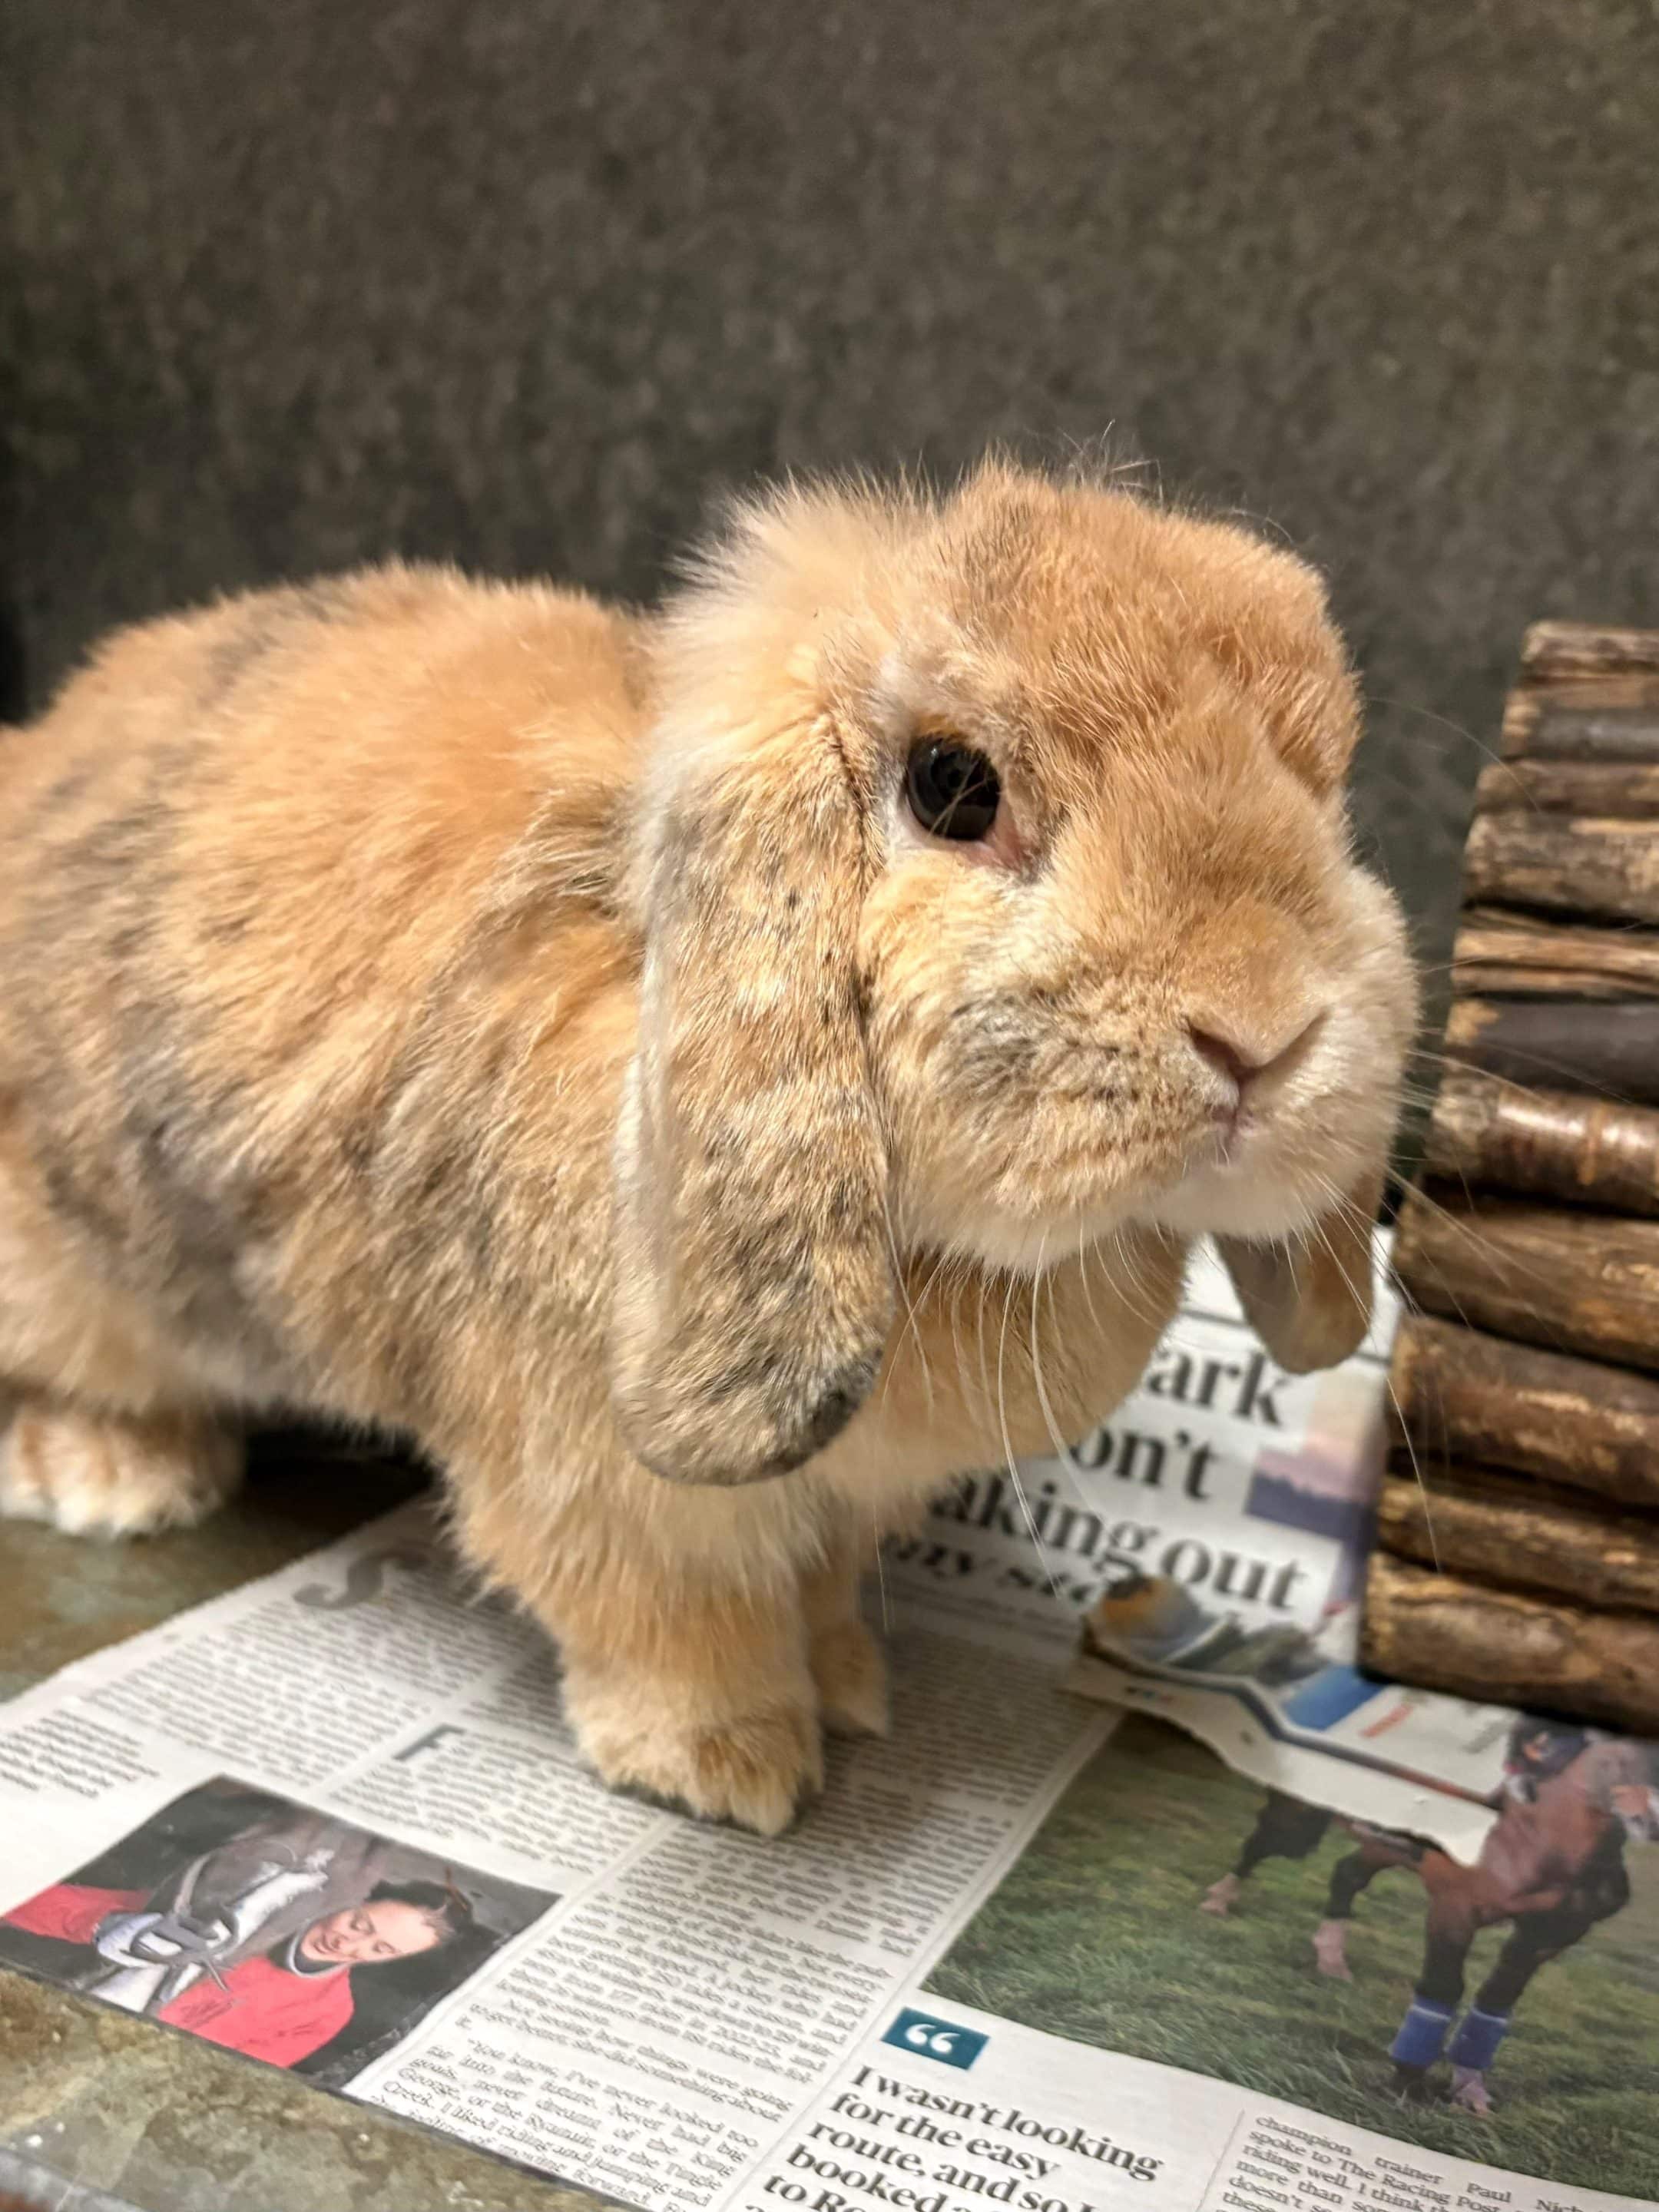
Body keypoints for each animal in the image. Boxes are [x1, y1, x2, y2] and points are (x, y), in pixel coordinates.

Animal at [0, 458, 1416, 1832]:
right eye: (953, 786)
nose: (1264, 1029)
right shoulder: (600, 1489)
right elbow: (672, 1626)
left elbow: (823, 1585)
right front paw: (730, 1767)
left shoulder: (839, 1505)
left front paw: (850, 1684)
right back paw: (116, 1477)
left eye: (1327, 780)